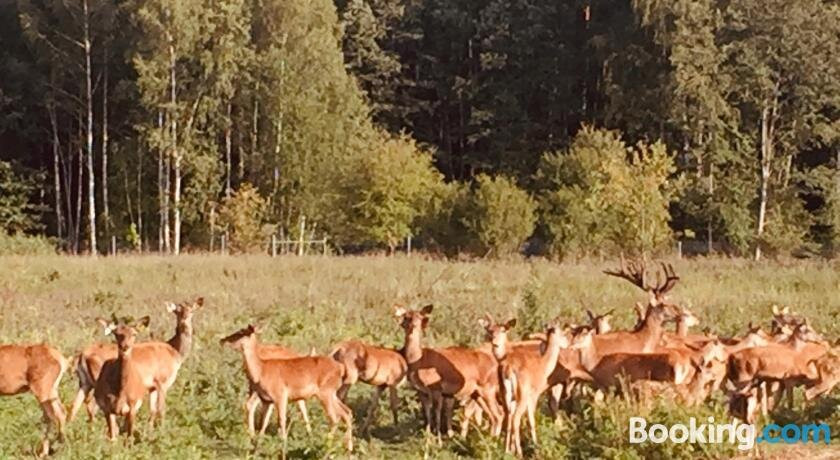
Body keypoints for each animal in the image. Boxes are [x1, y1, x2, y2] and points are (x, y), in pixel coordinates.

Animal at [70, 297, 203, 425]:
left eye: (192, 310)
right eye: (177, 311)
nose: (184, 320)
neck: (174, 351)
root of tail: (82, 355)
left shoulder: (152, 387)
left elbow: (152, 411)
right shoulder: (162, 383)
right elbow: (161, 410)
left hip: (85, 383)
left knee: (74, 407)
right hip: (98, 385)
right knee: (92, 407)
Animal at [220, 325, 354, 452]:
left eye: (241, 333)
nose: (223, 340)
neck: (261, 370)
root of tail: (341, 368)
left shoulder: (280, 396)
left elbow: (281, 420)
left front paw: (283, 447)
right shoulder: (267, 400)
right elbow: (264, 422)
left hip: (325, 393)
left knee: (335, 418)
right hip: (332, 394)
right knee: (346, 412)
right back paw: (348, 448)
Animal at [396, 304, 504, 438]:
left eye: (420, 316)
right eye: (406, 316)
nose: (414, 326)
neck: (419, 360)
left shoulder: (436, 390)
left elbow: (437, 413)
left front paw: (438, 439)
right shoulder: (422, 392)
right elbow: (427, 414)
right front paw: (428, 436)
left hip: (487, 392)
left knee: (498, 414)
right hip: (477, 394)